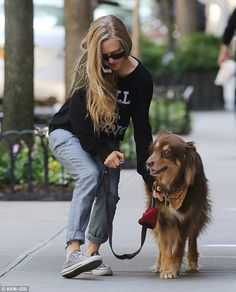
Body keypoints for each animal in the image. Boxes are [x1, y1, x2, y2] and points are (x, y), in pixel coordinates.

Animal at [147, 132, 211, 278]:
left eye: (167, 152)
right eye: (154, 149)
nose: (148, 163)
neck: (174, 187)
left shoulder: (185, 218)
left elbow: (179, 247)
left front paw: (175, 268)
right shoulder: (163, 218)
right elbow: (165, 246)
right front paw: (167, 270)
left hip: (198, 213)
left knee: (193, 237)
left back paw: (192, 261)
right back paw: (159, 265)